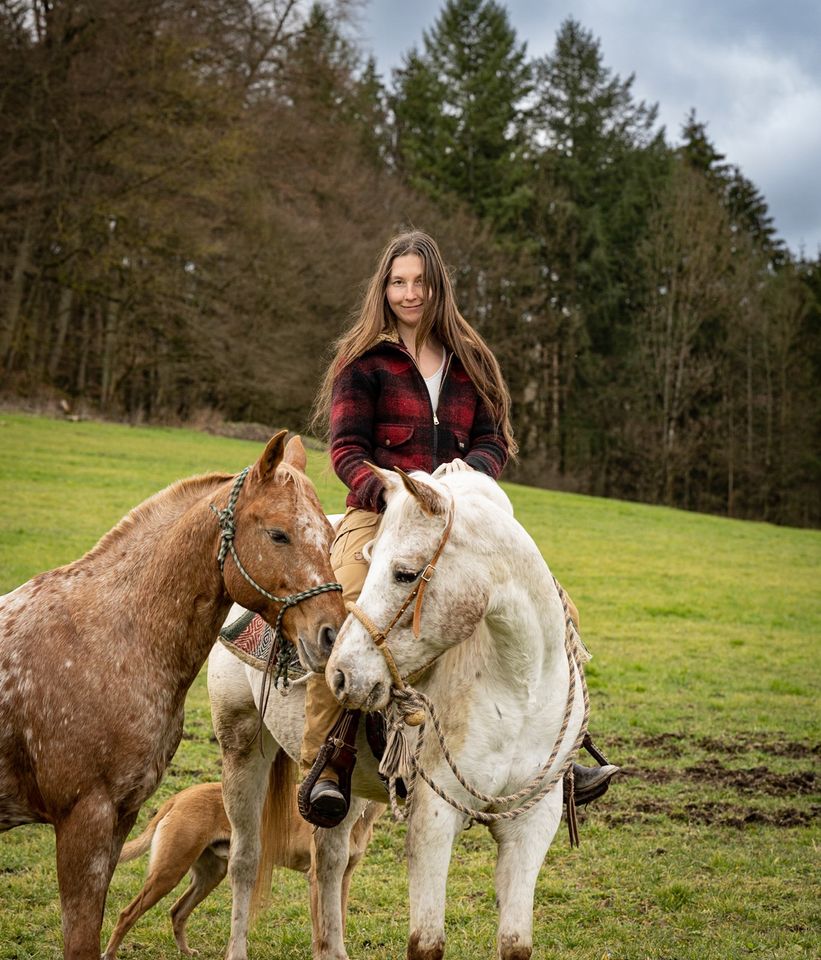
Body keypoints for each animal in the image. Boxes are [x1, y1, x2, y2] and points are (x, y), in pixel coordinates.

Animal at [0, 434, 342, 960]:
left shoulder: (120, 818)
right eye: (278, 535)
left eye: (328, 534)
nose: (331, 634)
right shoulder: (83, 823)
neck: (109, 638)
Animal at [103, 780, 384, 960]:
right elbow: (320, 930)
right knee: (127, 914)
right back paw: (110, 954)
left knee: (177, 911)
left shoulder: (343, 877)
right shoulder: (317, 877)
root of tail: (179, 797)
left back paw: (185, 952)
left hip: (210, 875)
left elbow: (339, 922)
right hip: (170, 870)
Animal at [208, 464, 588, 960]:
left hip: (342, 789)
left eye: (405, 574)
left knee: (329, 861)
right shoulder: (434, 817)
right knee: (246, 860)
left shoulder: (533, 822)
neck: (519, 688)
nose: (340, 673)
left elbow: (515, 944)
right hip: (242, 748)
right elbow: (426, 943)